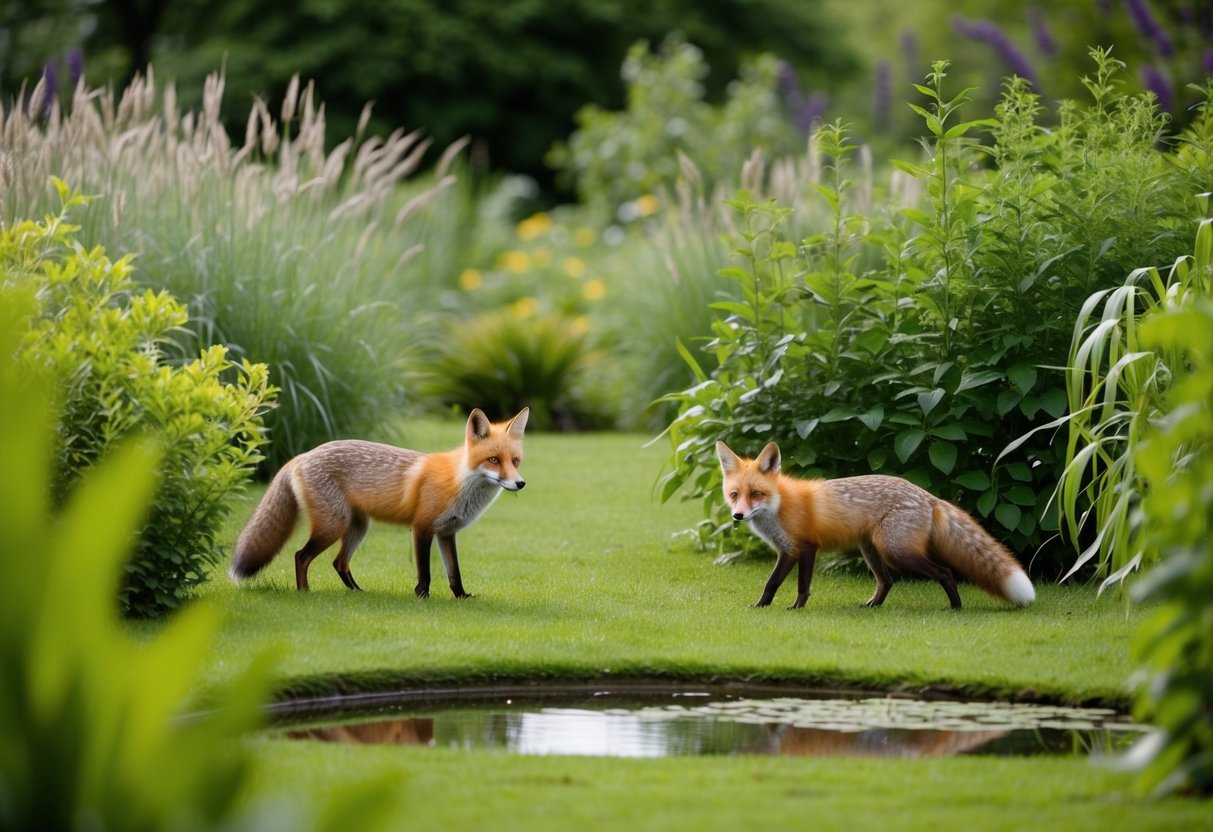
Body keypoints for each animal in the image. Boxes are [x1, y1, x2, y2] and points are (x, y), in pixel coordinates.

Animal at [230, 408, 529, 597]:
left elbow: (454, 573)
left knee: (339, 562)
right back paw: (304, 592)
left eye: (515, 461)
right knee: (301, 556)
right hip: (332, 526)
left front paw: (461, 597)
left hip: (358, 527)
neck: (459, 483)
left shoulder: (447, 532)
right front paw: (422, 597)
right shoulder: (422, 528)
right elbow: (425, 573)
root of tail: (302, 455)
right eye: (493, 460)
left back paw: (357, 592)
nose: (520, 484)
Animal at [715, 440, 1034, 610]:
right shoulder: (787, 550)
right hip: (871, 549)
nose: (738, 516)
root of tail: (927, 495)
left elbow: (798, 585)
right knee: (888, 581)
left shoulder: (804, 547)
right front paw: (762, 606)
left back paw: (956, 607)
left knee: (944, 572)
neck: (779, 505)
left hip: (896, 551)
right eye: (734, 495)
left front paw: (795, 608)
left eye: (757, 494)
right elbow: (772, 584)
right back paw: (873, 606)